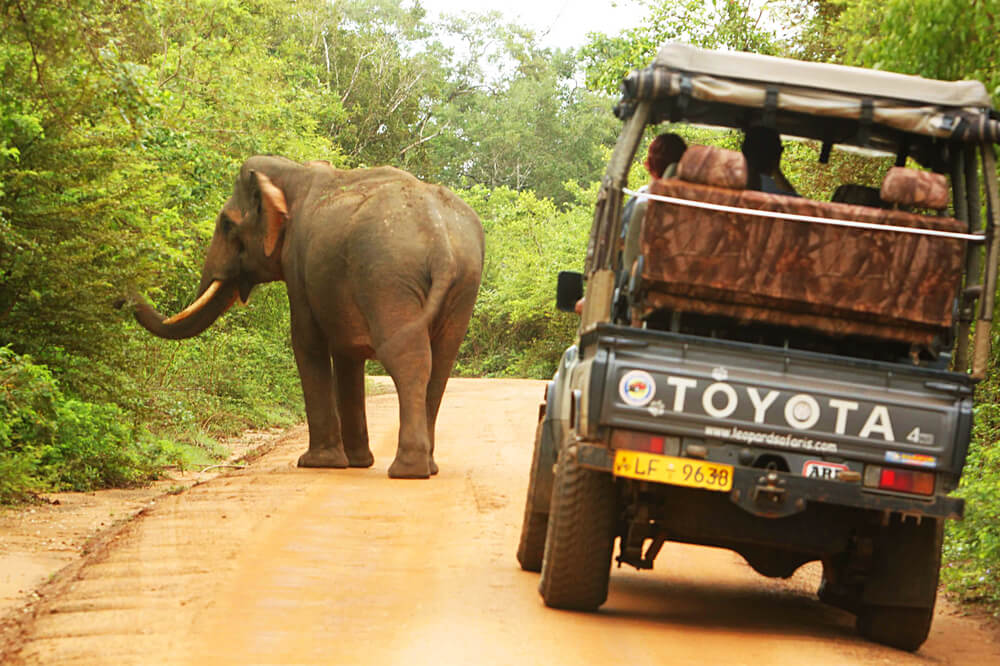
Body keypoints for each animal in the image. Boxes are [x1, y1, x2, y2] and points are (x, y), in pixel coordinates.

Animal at [130, 157, 484, 478]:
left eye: (227, 224)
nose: (125, 297)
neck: (295, 172)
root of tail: (440, 242)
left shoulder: (297, 262)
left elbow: (305, 340)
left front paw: (316, 463)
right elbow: (346, 354)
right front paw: (356, 463)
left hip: (388, 275)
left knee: (408, 357)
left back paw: (408, 471)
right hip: (462, 284)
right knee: (440, 363)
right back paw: (427, 467)